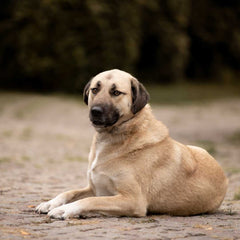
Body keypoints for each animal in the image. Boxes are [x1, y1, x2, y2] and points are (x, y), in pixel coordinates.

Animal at [36, 68, 229, 218]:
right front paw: (50, 203)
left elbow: (90, 200)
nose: (95, 111)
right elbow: (70, 192)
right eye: (95, 89)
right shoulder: (96, 187)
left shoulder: (133, 200)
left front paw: (65, 210)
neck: (113, 137)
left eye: (116, 92)